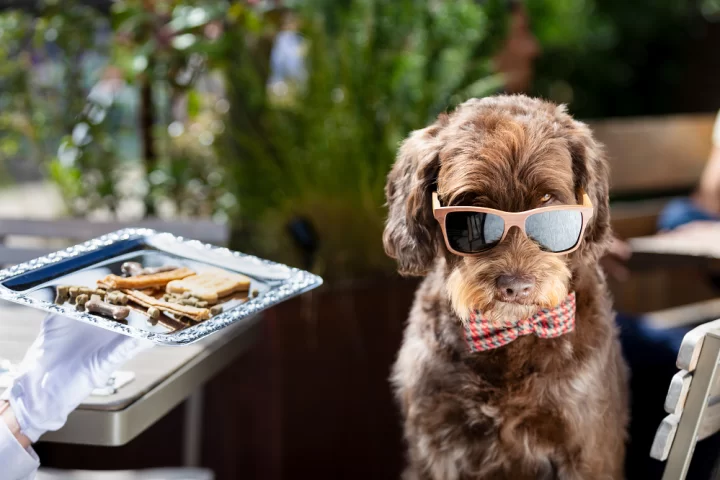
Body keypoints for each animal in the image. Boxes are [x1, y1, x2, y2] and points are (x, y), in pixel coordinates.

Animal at [386, 94, 628, 480]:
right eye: (469, 210)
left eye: (548, 201)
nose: (516, 286)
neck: (509, 337)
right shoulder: (435, 443)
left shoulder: (587, 446)